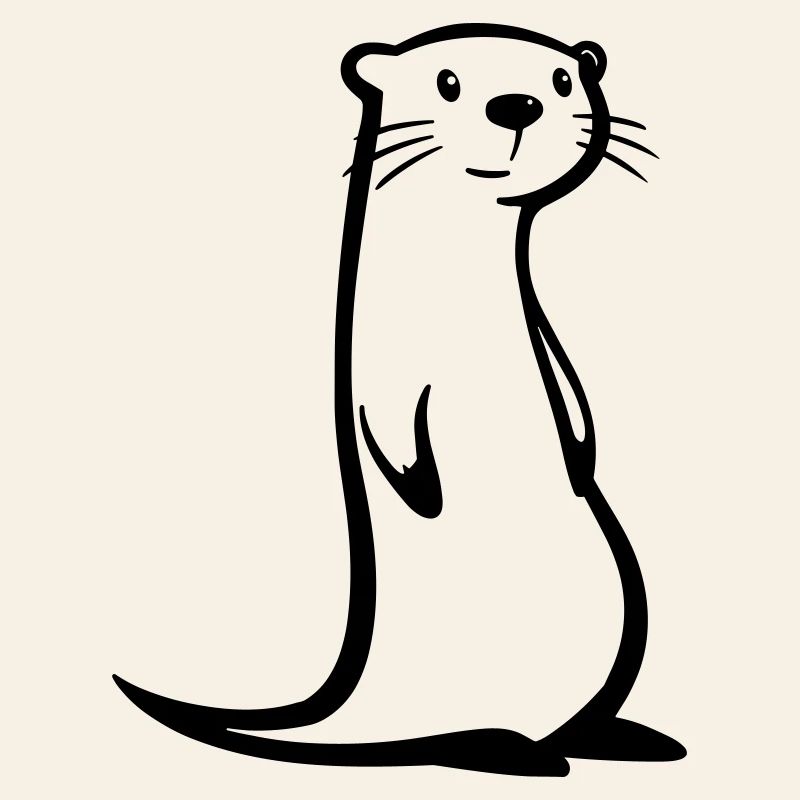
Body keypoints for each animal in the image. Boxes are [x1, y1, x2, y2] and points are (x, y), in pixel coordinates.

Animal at [113, 24, 686, 777]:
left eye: (565, 80)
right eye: (448, 82)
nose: (517, 104)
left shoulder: (540, 332)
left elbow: (570, 388)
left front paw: (582, 453)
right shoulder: (389, 356)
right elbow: (387, 421)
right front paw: (417, 481)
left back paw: (617, 737)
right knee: (452, 739)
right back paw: (511, 753)